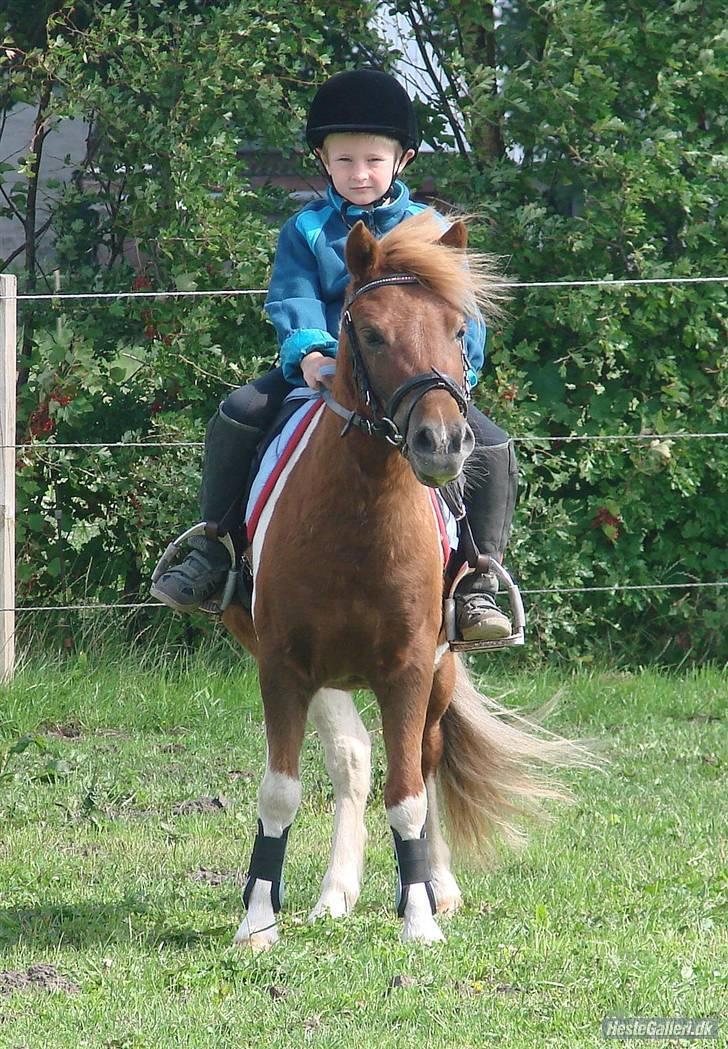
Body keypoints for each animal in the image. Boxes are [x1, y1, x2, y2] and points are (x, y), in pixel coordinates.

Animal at [222, 208, 574, 948]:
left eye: (458, 330)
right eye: (373, 332)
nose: (441, 444)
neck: (359, 521)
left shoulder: (411, 667)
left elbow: (408, 794)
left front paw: (418, 918)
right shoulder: (282, 663)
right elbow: (281, 790)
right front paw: (259, 920)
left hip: (437, 672)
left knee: (425, 758)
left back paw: (435, 886)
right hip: (328, 673)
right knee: (352, 759)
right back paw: (334, 893)